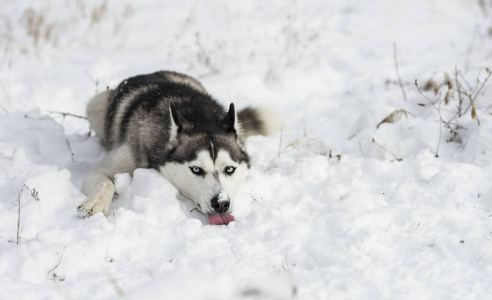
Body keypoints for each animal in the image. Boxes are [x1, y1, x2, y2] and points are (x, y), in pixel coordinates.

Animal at [78, 71, 280, 224]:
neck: (199, 118)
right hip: (95, 104)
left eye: (230, 169)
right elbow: (106, 182)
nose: (221, 203)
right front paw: (95, 204)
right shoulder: (114, 164)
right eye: (196, 169)